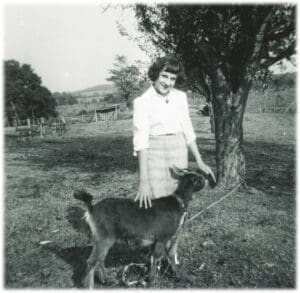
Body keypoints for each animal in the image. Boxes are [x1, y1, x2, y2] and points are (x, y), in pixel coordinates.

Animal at [73, 165, 213, 286]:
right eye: (200, 179)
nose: (208, 178)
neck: (178, 202)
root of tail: (92, 208)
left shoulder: (165, 240)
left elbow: (169, 258)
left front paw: (178, 276)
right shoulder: (162, 238)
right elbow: (158, 258)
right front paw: (152, 281)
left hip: (103, 239)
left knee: (100, 260)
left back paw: (106, 281)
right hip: (104, 238)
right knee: (91, 262)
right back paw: (90, 285)